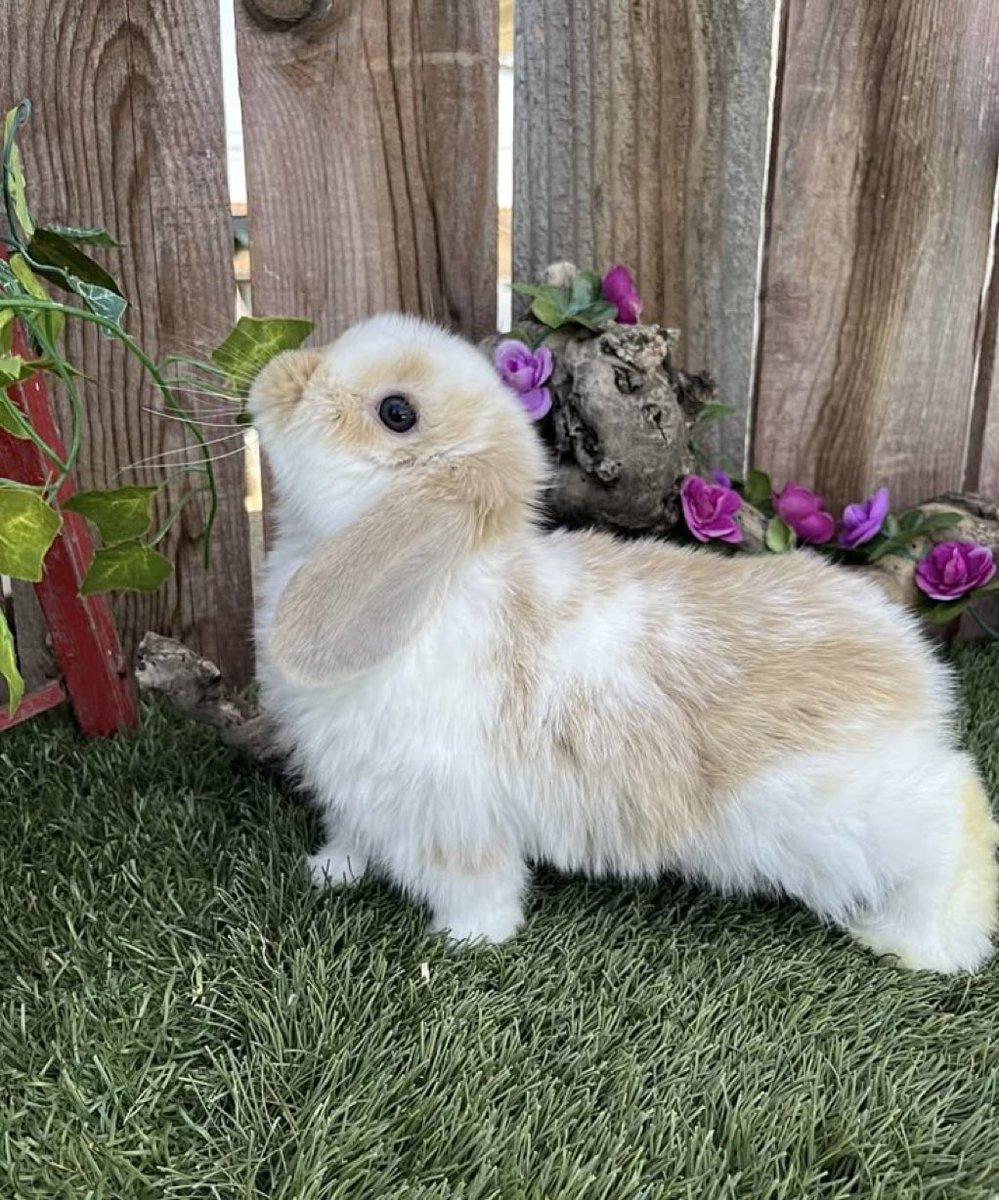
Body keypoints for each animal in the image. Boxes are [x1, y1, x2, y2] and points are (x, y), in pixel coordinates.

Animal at [248, 312, 999, 974]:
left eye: (397, 412)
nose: (273, 374)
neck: (439, 584)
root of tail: (912, 664)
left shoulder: (452, 811)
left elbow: (476, 882)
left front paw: (470, 939)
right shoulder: (359, 790)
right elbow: (353, 836)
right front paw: (328, 871)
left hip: (841, 809)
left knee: (956, 810)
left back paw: (920, 944)